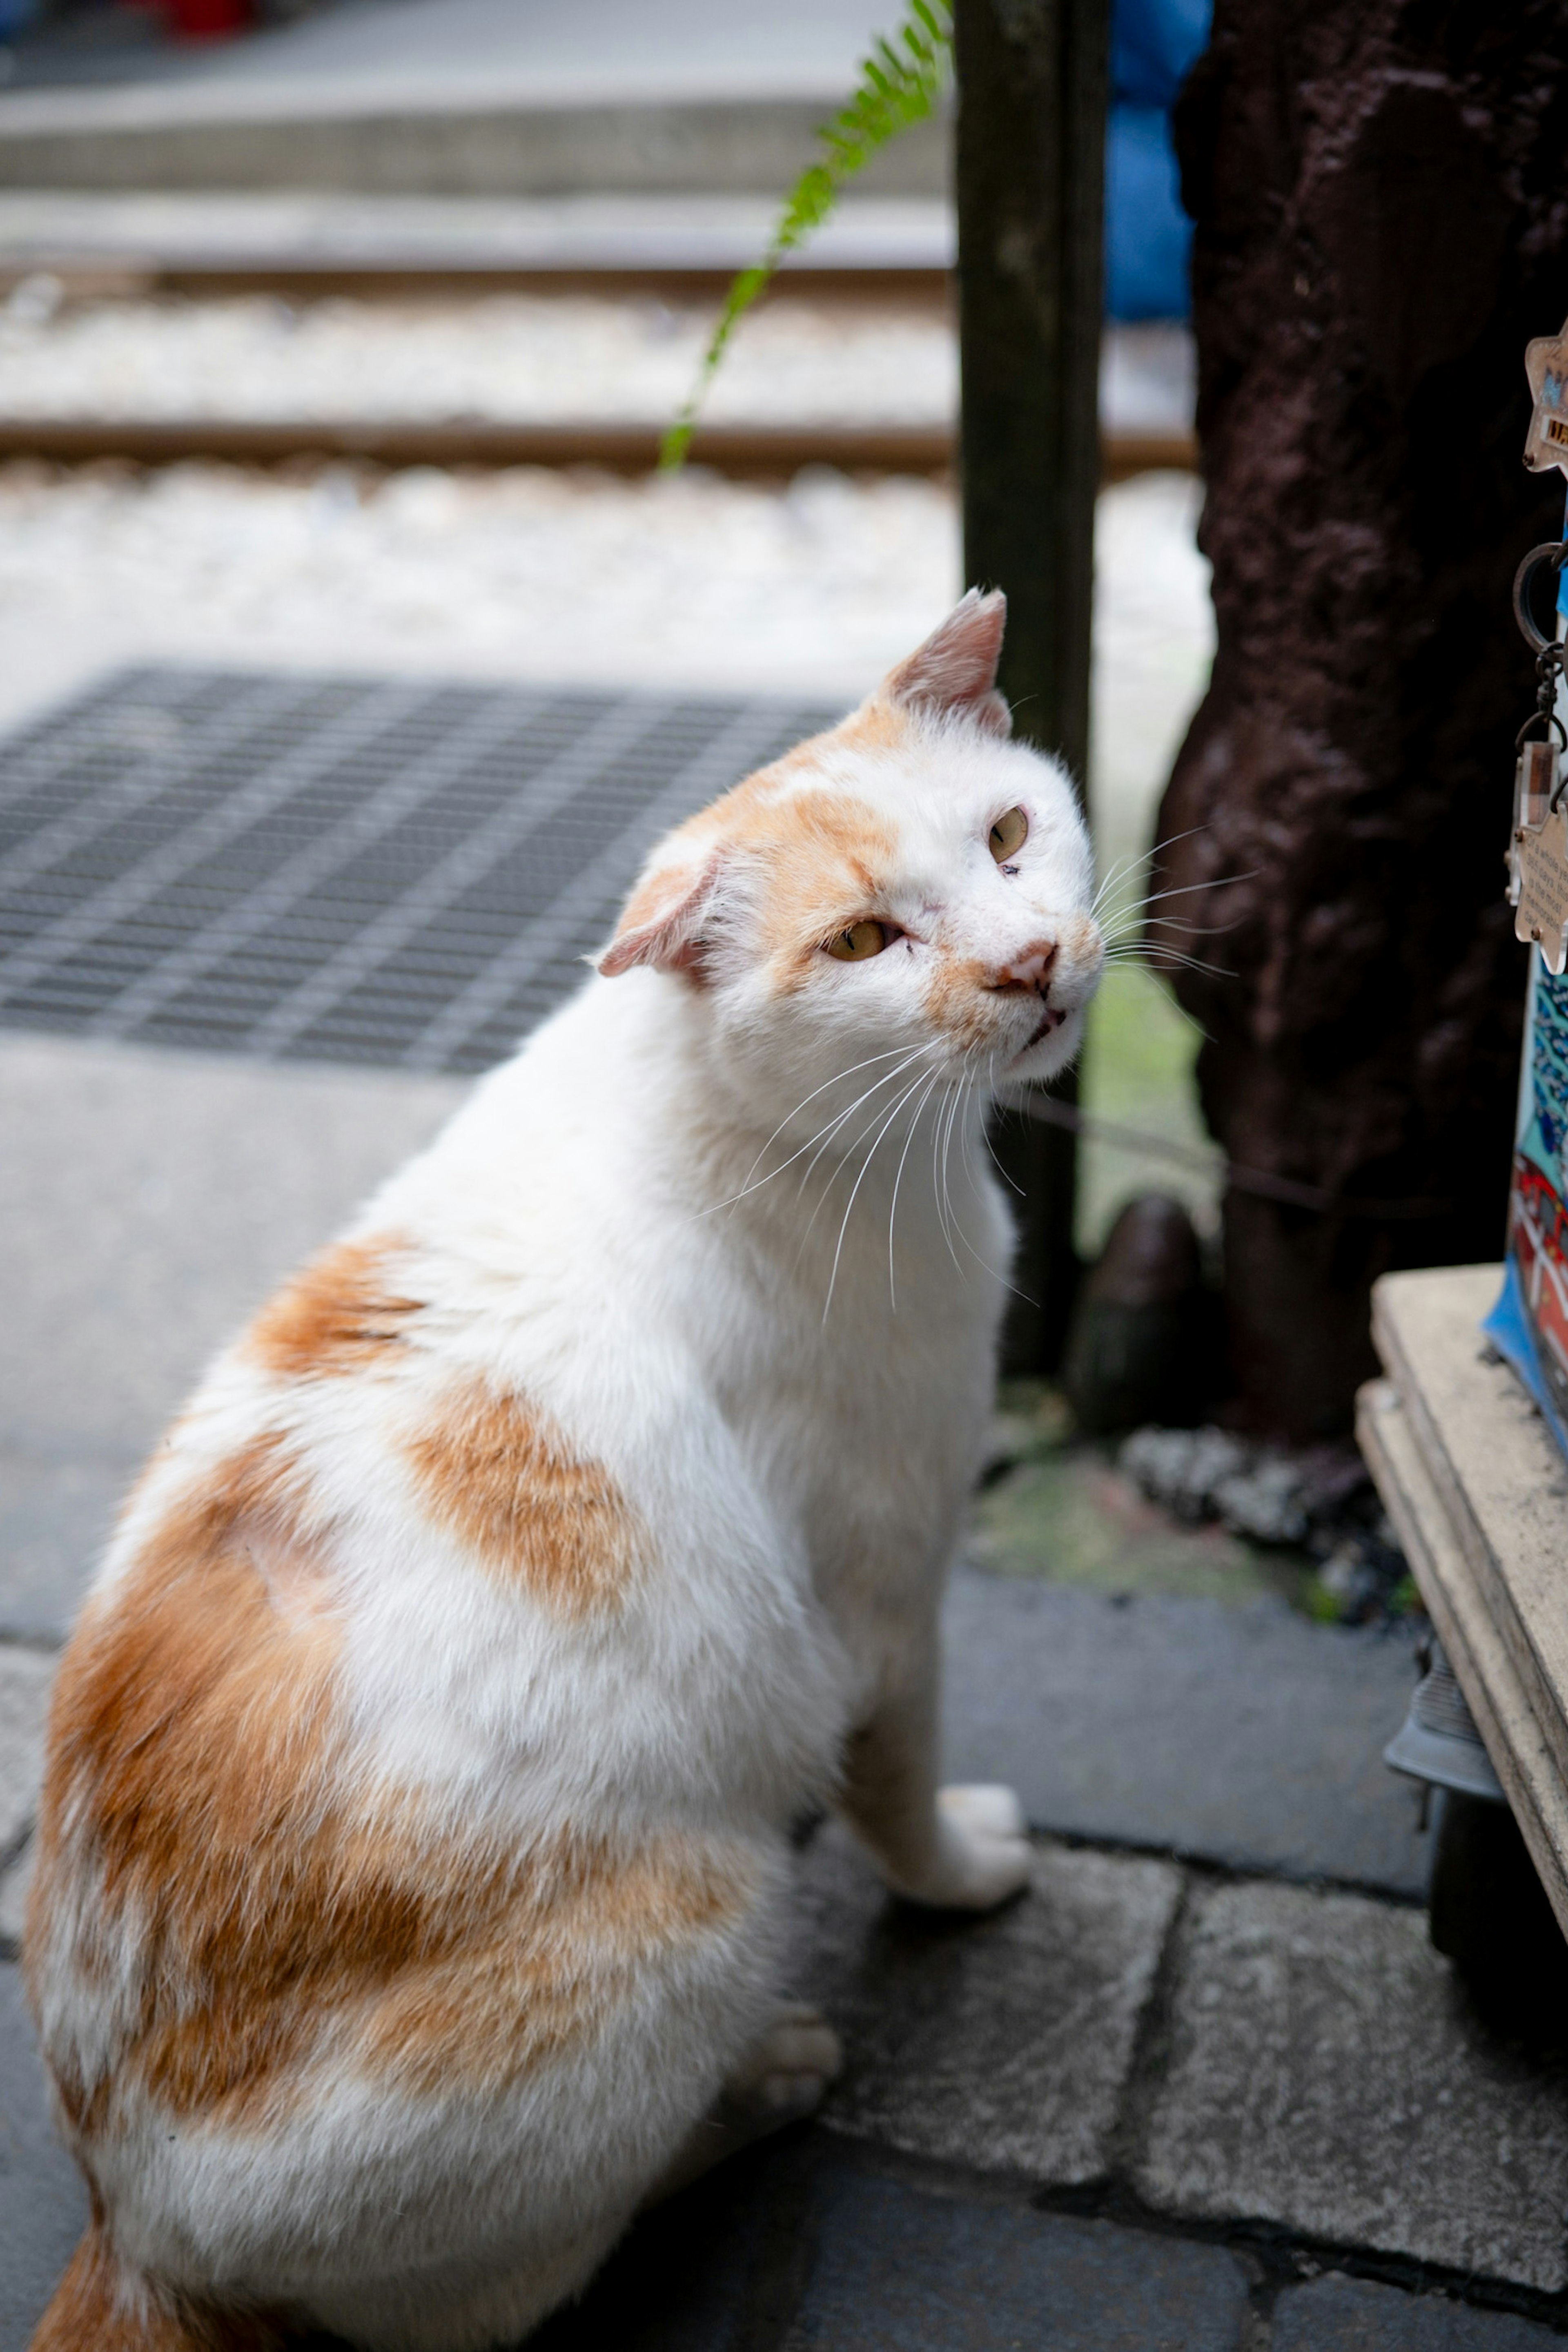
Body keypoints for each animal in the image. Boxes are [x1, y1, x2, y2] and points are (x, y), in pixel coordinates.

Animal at [24, 593, 1105, 2352]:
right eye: (863, 943)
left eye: (1011, 835)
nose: (1028, 960)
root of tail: (135, 2228)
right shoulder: (883, 1600)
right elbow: (899, 1788)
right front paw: (961, 1870)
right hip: (698, 1917)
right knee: (520, 2279)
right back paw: (768, 2075)